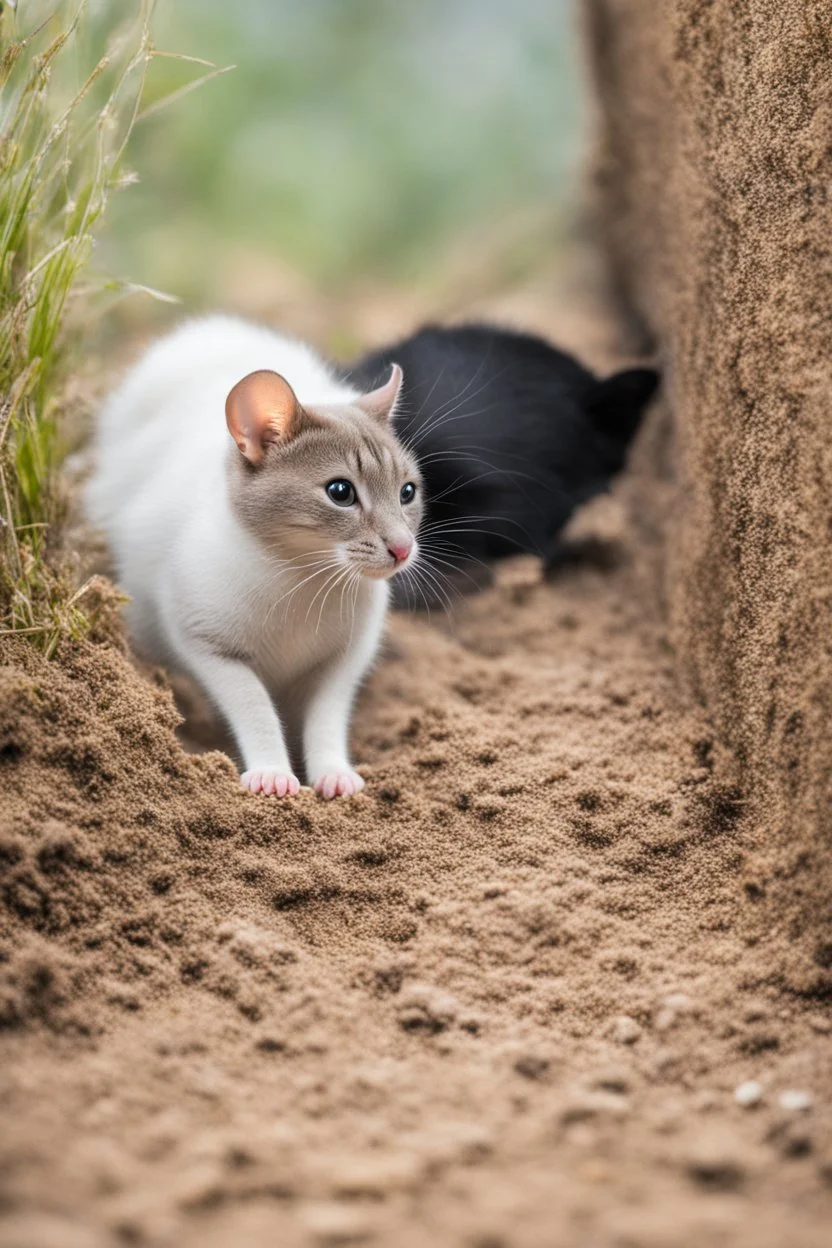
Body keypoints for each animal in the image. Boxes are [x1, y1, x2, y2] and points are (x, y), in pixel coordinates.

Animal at [87, 314, 419, 798]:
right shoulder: (208, 646)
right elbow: (255, 707)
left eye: (407, 492)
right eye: (341, 492)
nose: (403, 547)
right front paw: (272, 770)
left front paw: (332, 770)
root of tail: (212, 331)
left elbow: (326, 717)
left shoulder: (343, 660)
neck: (303, 578)